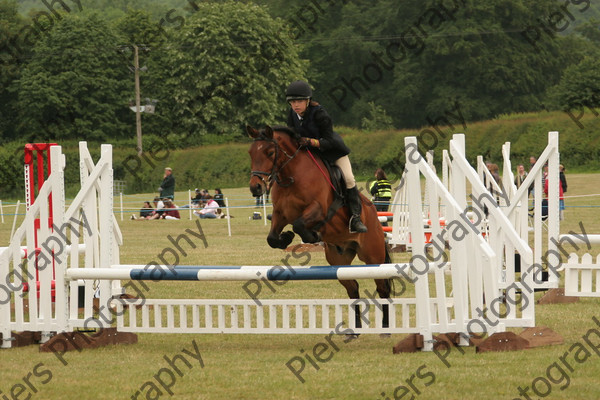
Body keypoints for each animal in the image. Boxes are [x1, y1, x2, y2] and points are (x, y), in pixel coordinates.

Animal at [246, 125, 392, 332]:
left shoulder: (318, 209)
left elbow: (300, 225)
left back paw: (386, 326)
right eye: (251, 153)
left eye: (270, 152)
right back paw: (354, 330)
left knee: (382, 288)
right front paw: (287, 237)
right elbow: (272, 238)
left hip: (373, 257)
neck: (291, 176)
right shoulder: (280, 215)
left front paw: (312, 236)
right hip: (338, 260)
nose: (256, 188)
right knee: (353, 287)